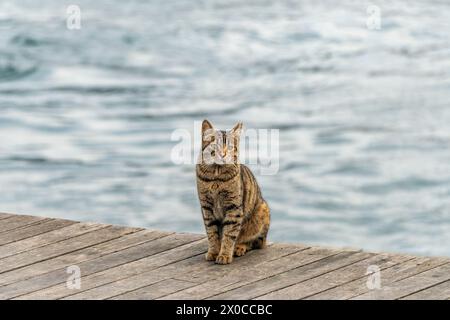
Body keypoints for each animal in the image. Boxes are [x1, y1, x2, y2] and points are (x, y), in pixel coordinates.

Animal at [195, 119, 268, 264]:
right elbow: (212, 233)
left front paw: (224, 254)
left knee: (255, 241)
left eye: (230, 147)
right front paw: (213, 251)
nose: (223, 154)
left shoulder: (234, 208)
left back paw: (239, 247)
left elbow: (229, 234)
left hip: (262, 211)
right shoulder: (206, 208)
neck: (216, 176)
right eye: (216, 146)